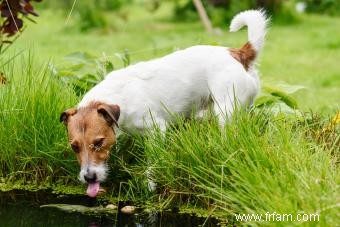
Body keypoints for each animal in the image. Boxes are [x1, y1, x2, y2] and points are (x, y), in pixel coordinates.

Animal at [60, 9, 268, 197]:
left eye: (98, 142)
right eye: (74, 147)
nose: (89, 178)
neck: (119, 96)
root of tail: (238, 53)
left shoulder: (157, 129)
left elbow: (153, 160)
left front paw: (150, 183)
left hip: (224, 110)